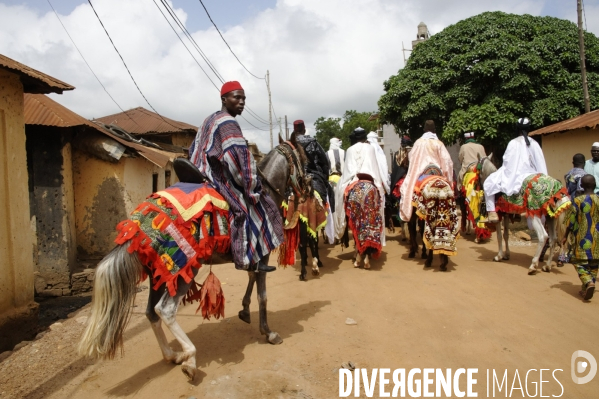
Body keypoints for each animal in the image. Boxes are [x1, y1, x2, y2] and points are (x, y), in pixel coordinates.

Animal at [78, 140, 308, 382]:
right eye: (305, 158)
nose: (309, 186)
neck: (263, 194)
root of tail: (138, 223)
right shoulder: (262, 254)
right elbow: (262, 295)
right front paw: (269, 332)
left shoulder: (252, 256)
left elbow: (251, 277)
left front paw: (245, 311)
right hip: (185, 270)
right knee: (165, 310)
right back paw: (190, 359)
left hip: (158, 273)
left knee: (151, 312)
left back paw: (172, 355)